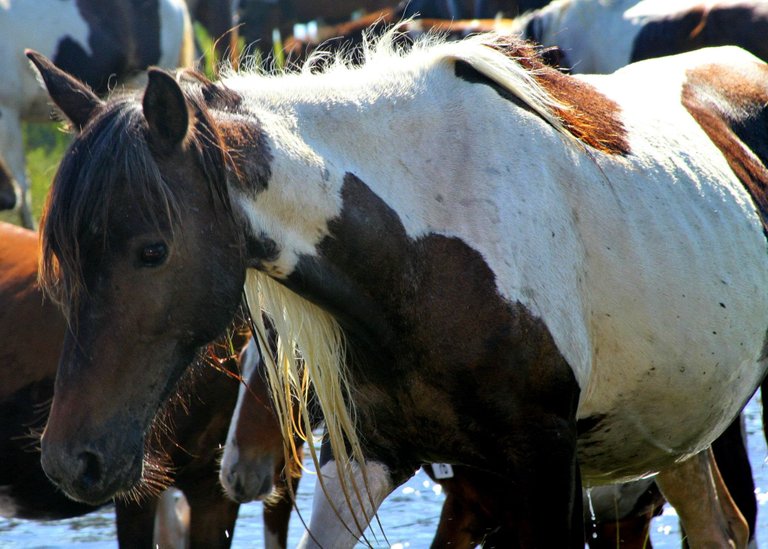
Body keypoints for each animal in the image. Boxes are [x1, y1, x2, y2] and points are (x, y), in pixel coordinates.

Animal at [27, 31, 768, 548]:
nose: (69, 460)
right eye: (64, 262)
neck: (421, 255)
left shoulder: (545, 462)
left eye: (152, 250)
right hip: (674, 426)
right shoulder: (366, 454)